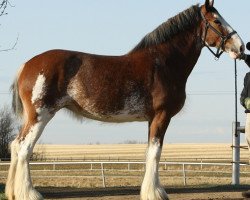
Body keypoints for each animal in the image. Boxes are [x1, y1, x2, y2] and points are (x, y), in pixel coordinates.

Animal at [5, 0, 244, 200]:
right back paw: (30, 193)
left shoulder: (152, 119)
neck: (162, 62)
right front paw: (155, 193)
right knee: (24, 148)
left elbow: (149, 153)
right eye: (217, 21)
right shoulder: (162, 115)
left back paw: (13, 192)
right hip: (40, 115)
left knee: (16, 145)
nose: (241, 47)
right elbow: (155, 153)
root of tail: (27, 65)